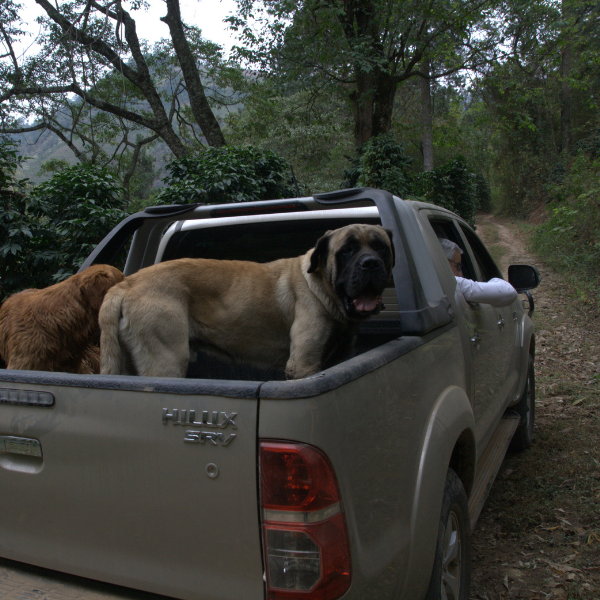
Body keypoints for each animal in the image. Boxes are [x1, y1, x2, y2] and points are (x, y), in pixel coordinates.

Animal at [101, 223, 396, 382]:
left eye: (381, 247)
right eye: (346, 250)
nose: (370, 264)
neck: (322, 287)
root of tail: (126, 283)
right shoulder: (304, 364)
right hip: (166, 361)